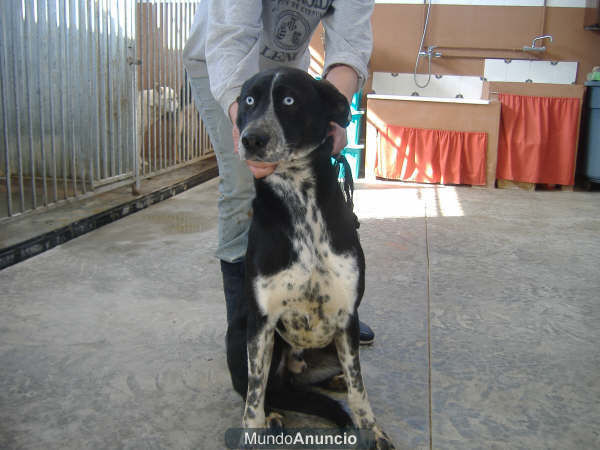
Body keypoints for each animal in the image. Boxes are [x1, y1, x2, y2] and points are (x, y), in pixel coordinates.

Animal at [225, 67, 394, 450]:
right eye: (249, 100)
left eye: (289, 100)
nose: (251, 139)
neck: (300, 199)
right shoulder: (261, 323)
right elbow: (254, 393)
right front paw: (254, 428)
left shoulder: (347, 317)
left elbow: (359, 389)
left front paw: (371, 429)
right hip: (242, 333)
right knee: (263, 389)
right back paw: (274, 411)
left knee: (326, 379)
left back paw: (332, 382)